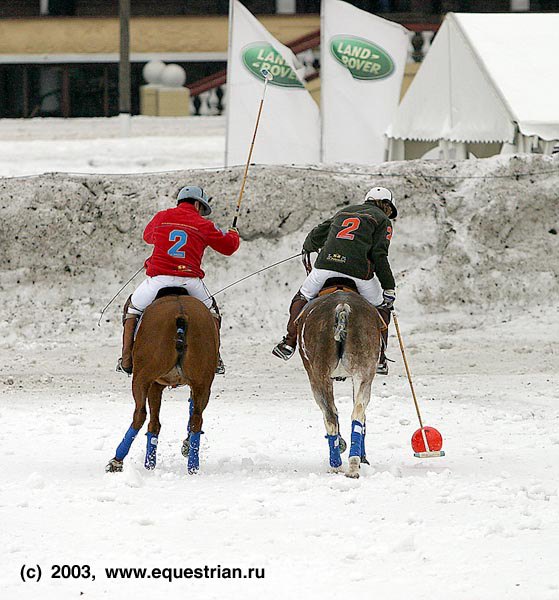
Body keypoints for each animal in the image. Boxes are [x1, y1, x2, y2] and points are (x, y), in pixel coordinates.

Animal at [105, 290, 219, 474]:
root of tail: (181, 314)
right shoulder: (170, 385)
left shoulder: (154, 384)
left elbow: (152, 421)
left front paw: (148, 463)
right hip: (203, 381)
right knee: (196, 418)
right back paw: (193, 466)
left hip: (141, 378)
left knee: (140, 415)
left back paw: (117, 460)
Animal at [300, 284, 388, 478]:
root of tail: (342, 306)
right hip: (364, 372)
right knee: (358, 412)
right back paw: (354, 464)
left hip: (319, 375)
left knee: (331, 416)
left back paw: (336, 465)